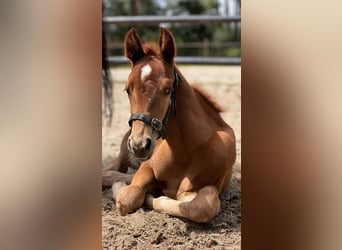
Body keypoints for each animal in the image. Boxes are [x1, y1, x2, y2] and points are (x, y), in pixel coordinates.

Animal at [101, 27, 235, 223]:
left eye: (167, 89)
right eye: (127, 89)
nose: (139, 145)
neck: (185, 151)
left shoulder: (209, 187)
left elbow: (200, 207)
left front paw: (152, 196)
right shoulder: (147, 167)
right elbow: (128, 197)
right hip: (123, 155)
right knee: (111, 171)